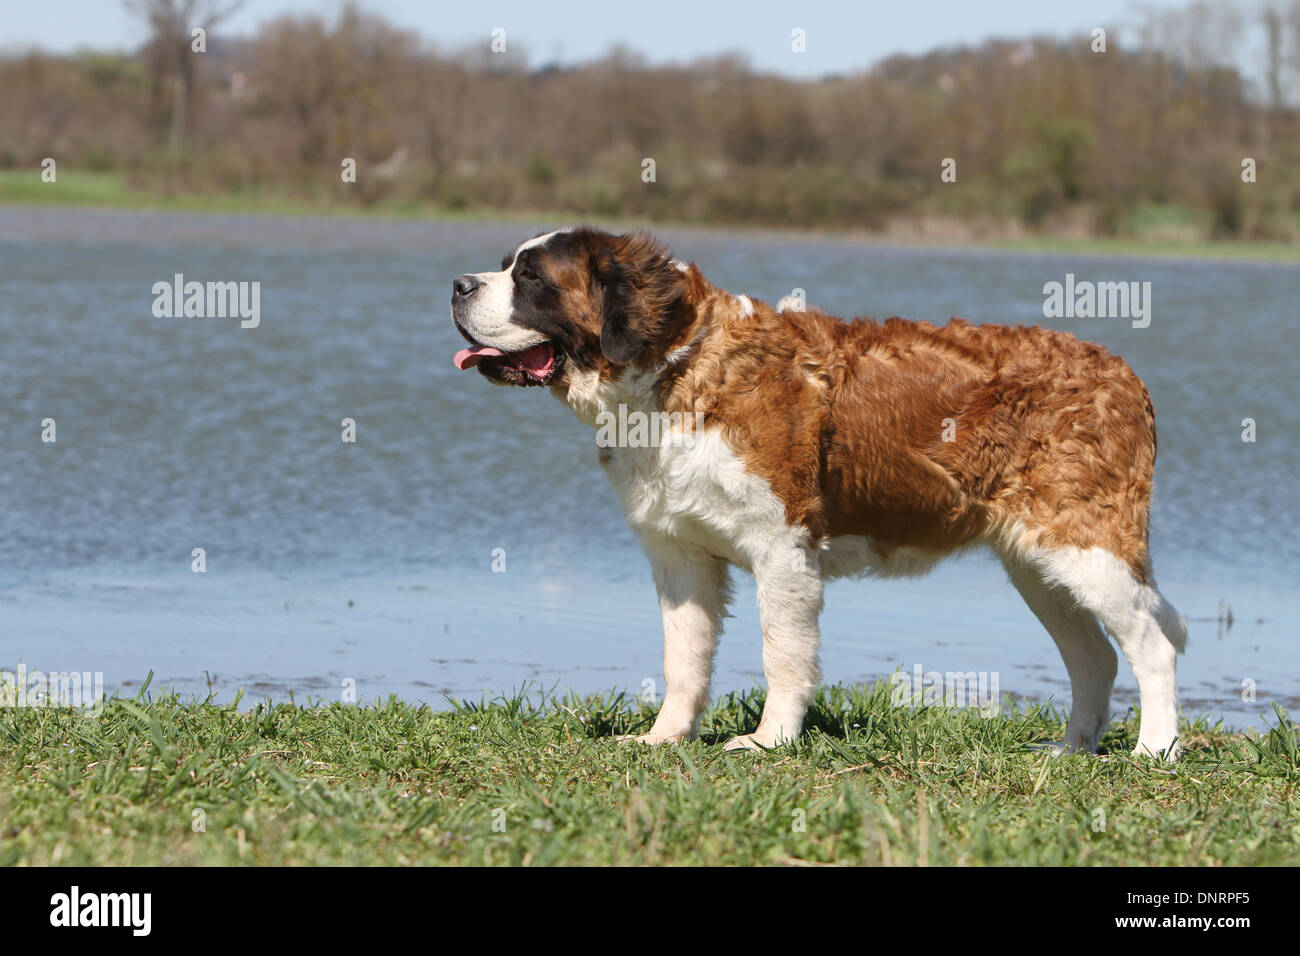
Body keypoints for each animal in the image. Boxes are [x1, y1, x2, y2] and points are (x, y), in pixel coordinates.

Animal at [449, 227, 1190, 759]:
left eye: (531, 278)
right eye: (506, 267)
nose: (457, 283)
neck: (676, 371)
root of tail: (1123, 372)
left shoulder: (783, 551)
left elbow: (783, 653)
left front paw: (768, 741)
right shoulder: (680, 556)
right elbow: (684, 657)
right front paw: (663, 738)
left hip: (1087, 547)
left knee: (1153, 645)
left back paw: (1153, 750)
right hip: (1039, 562)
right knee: (1094, 656)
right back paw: (1071, 749)